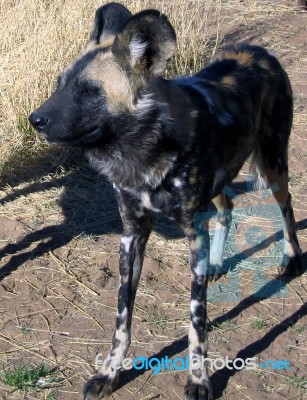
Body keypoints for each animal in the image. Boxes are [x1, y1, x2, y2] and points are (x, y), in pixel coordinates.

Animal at [28, 1, 304, 398]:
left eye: (89, 91)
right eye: (59, 85)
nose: (35, 119)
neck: (142, 150)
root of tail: (259, 52)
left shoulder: (192, 233)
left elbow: (196, 323)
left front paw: (199, 379)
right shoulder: (132, 235)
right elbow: (122, 320)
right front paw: (109, 373)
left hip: (272, 164)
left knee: (287, 206)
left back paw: (291, 260)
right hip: (220, 183)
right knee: (228, 208)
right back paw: (217, 261)